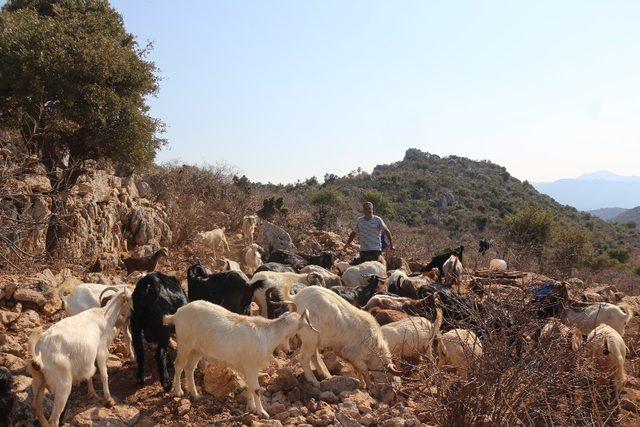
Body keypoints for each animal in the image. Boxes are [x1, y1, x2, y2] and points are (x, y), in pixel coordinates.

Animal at [28, 290, 131, 427]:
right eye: (131, 298)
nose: (130, 317)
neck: (104, 315)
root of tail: (39, 354)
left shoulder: (88, 357)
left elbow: (90, 374)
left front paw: (92, 393)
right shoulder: (101, 350)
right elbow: (104, 375)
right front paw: (109, 399)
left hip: (39, 381)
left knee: (37, 407)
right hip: (63, 385)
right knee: (54, 419)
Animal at [164, 300, 316, 418]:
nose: (289, 350)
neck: (268, 334)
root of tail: (177, 314)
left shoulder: (247, 368)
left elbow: (249, 387)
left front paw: (252, 408)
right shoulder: (250, 365)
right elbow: (256, 389)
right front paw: (262, 412)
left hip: (197, 350)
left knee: (189, 368)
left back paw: (195, 395)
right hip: (185, 344)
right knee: (178, 365)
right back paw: (178, 391)